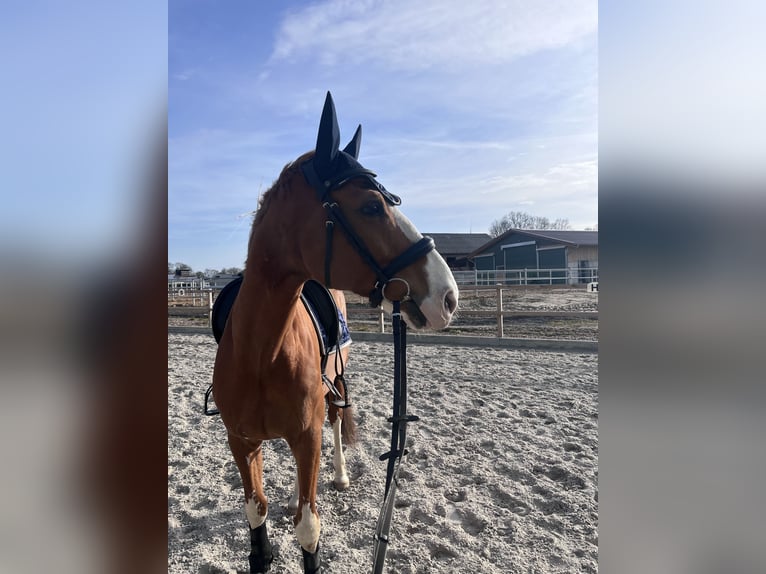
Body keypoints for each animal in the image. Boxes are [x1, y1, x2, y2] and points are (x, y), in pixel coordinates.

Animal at [212, 92, 458, 573]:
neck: (260, 352)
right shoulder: (242, 441)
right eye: (370, 207)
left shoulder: (307, 436)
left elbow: (309, 530)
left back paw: (340, 476)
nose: (448, 296)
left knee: (335, 421)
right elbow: (257, 514)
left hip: (336, 380)